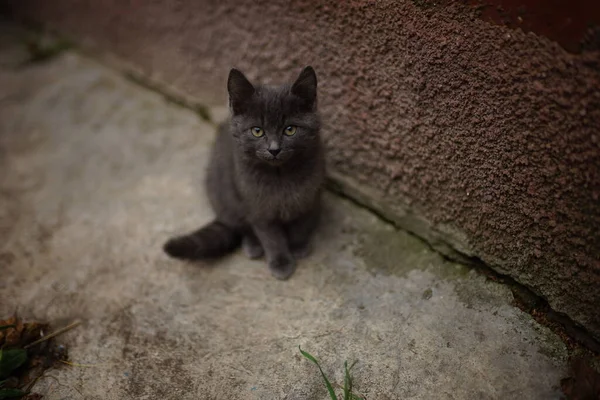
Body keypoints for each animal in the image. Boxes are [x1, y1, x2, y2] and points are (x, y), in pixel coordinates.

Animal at [163, 66, 324, 278]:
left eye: (290, 129)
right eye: (257, 131)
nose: (274, 149)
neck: (279, 176)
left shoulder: (310, 199)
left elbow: (301, 226)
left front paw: (298, 246)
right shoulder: (257, 208)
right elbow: (272, 237)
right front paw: (281, 262)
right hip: (226, 196)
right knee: (241, 226)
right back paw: (253, 245)